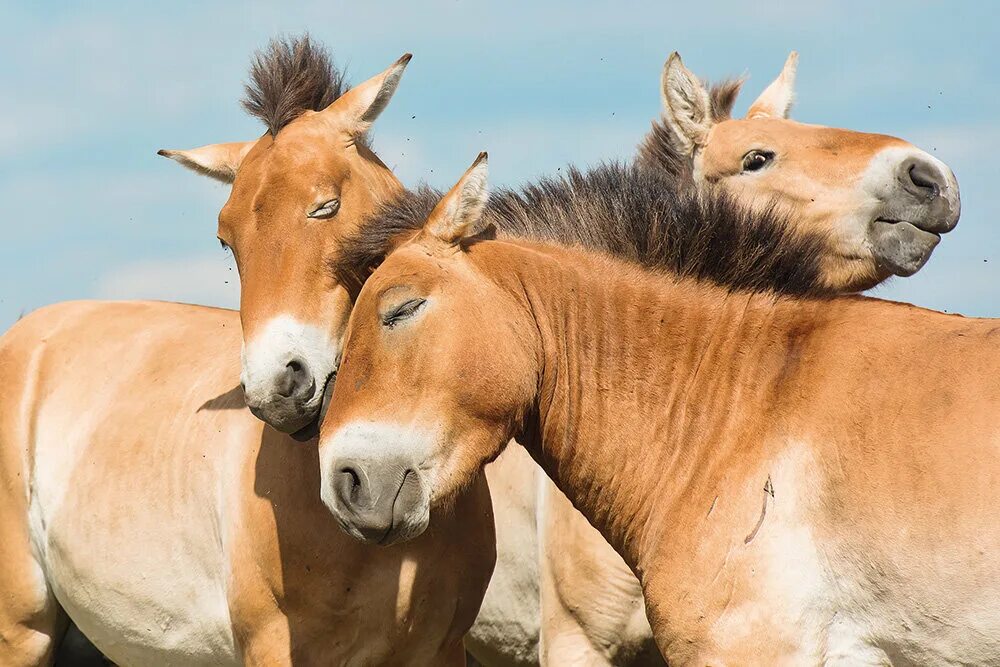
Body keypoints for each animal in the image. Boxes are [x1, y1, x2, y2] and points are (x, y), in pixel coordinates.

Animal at [0, 37, 496, 667]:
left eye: (325, 206)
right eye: (225, 239)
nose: (278, 386)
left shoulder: (442, 649)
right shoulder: (272, 644)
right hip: (21, 629)